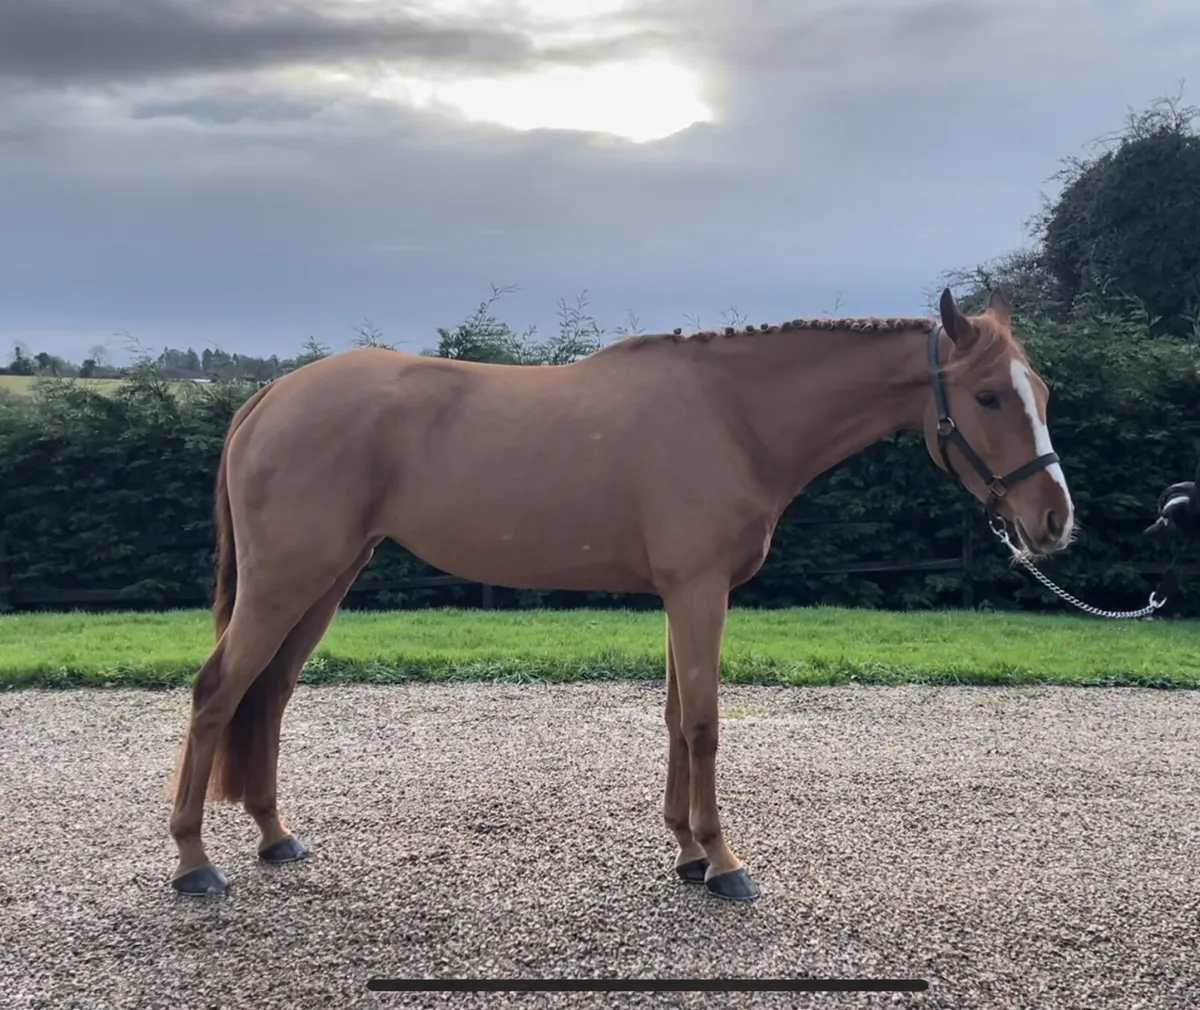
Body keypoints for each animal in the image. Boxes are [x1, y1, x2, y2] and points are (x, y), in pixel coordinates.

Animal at [166, 285, 1075, 902]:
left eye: (1044, 395)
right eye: (989, 396)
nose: (1056, 520)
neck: (732, 416)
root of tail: (270, 396)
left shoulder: (682, 594)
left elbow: (675, 719)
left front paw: (688, 853)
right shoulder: (699, 591)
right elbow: (704, 724)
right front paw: (727, 864)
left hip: (325, 580)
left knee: (268, 695)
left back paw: (275, 837)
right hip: (287, 582)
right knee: (217, 692)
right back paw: (194, 862)